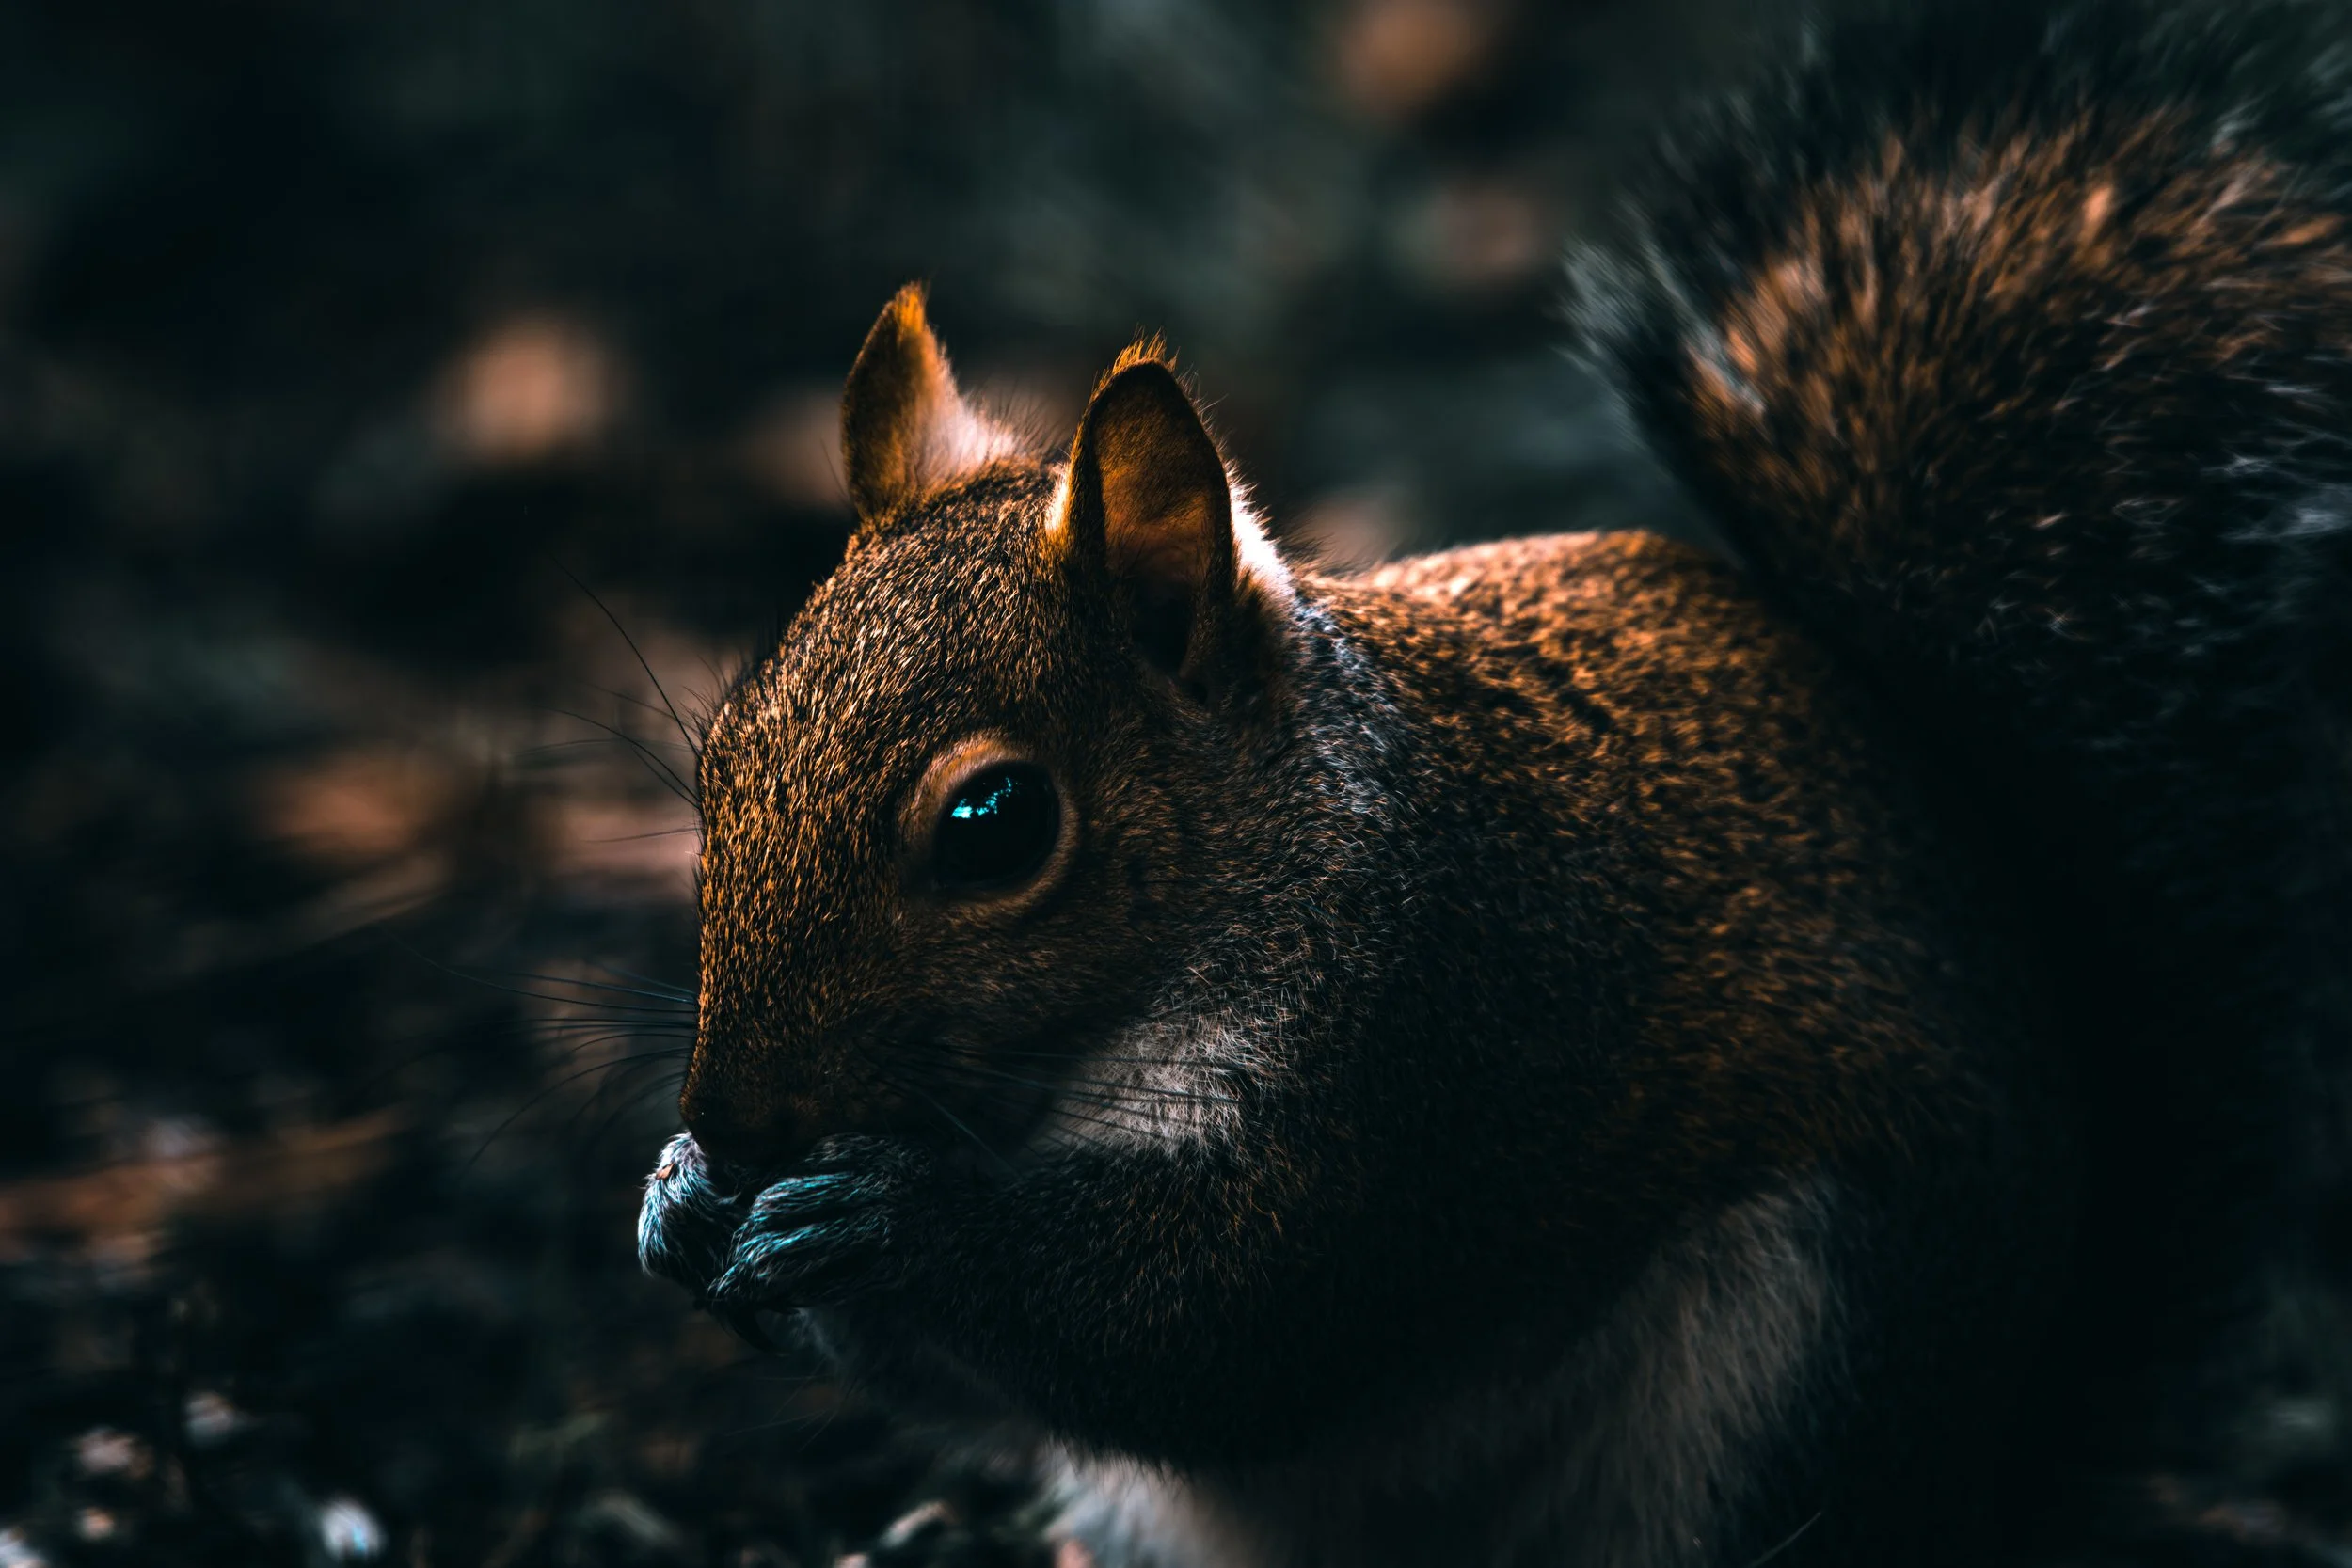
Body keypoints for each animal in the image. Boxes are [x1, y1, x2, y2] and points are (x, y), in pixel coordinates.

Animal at [638, 1, 2352, 1562]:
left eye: (995, 825)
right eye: (724, 756)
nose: (734, 1120)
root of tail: (1993, 1447)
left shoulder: (1433, 1035)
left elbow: (1208, 1326)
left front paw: (888, 1220)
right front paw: (680, 1203)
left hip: (1795, 1366)